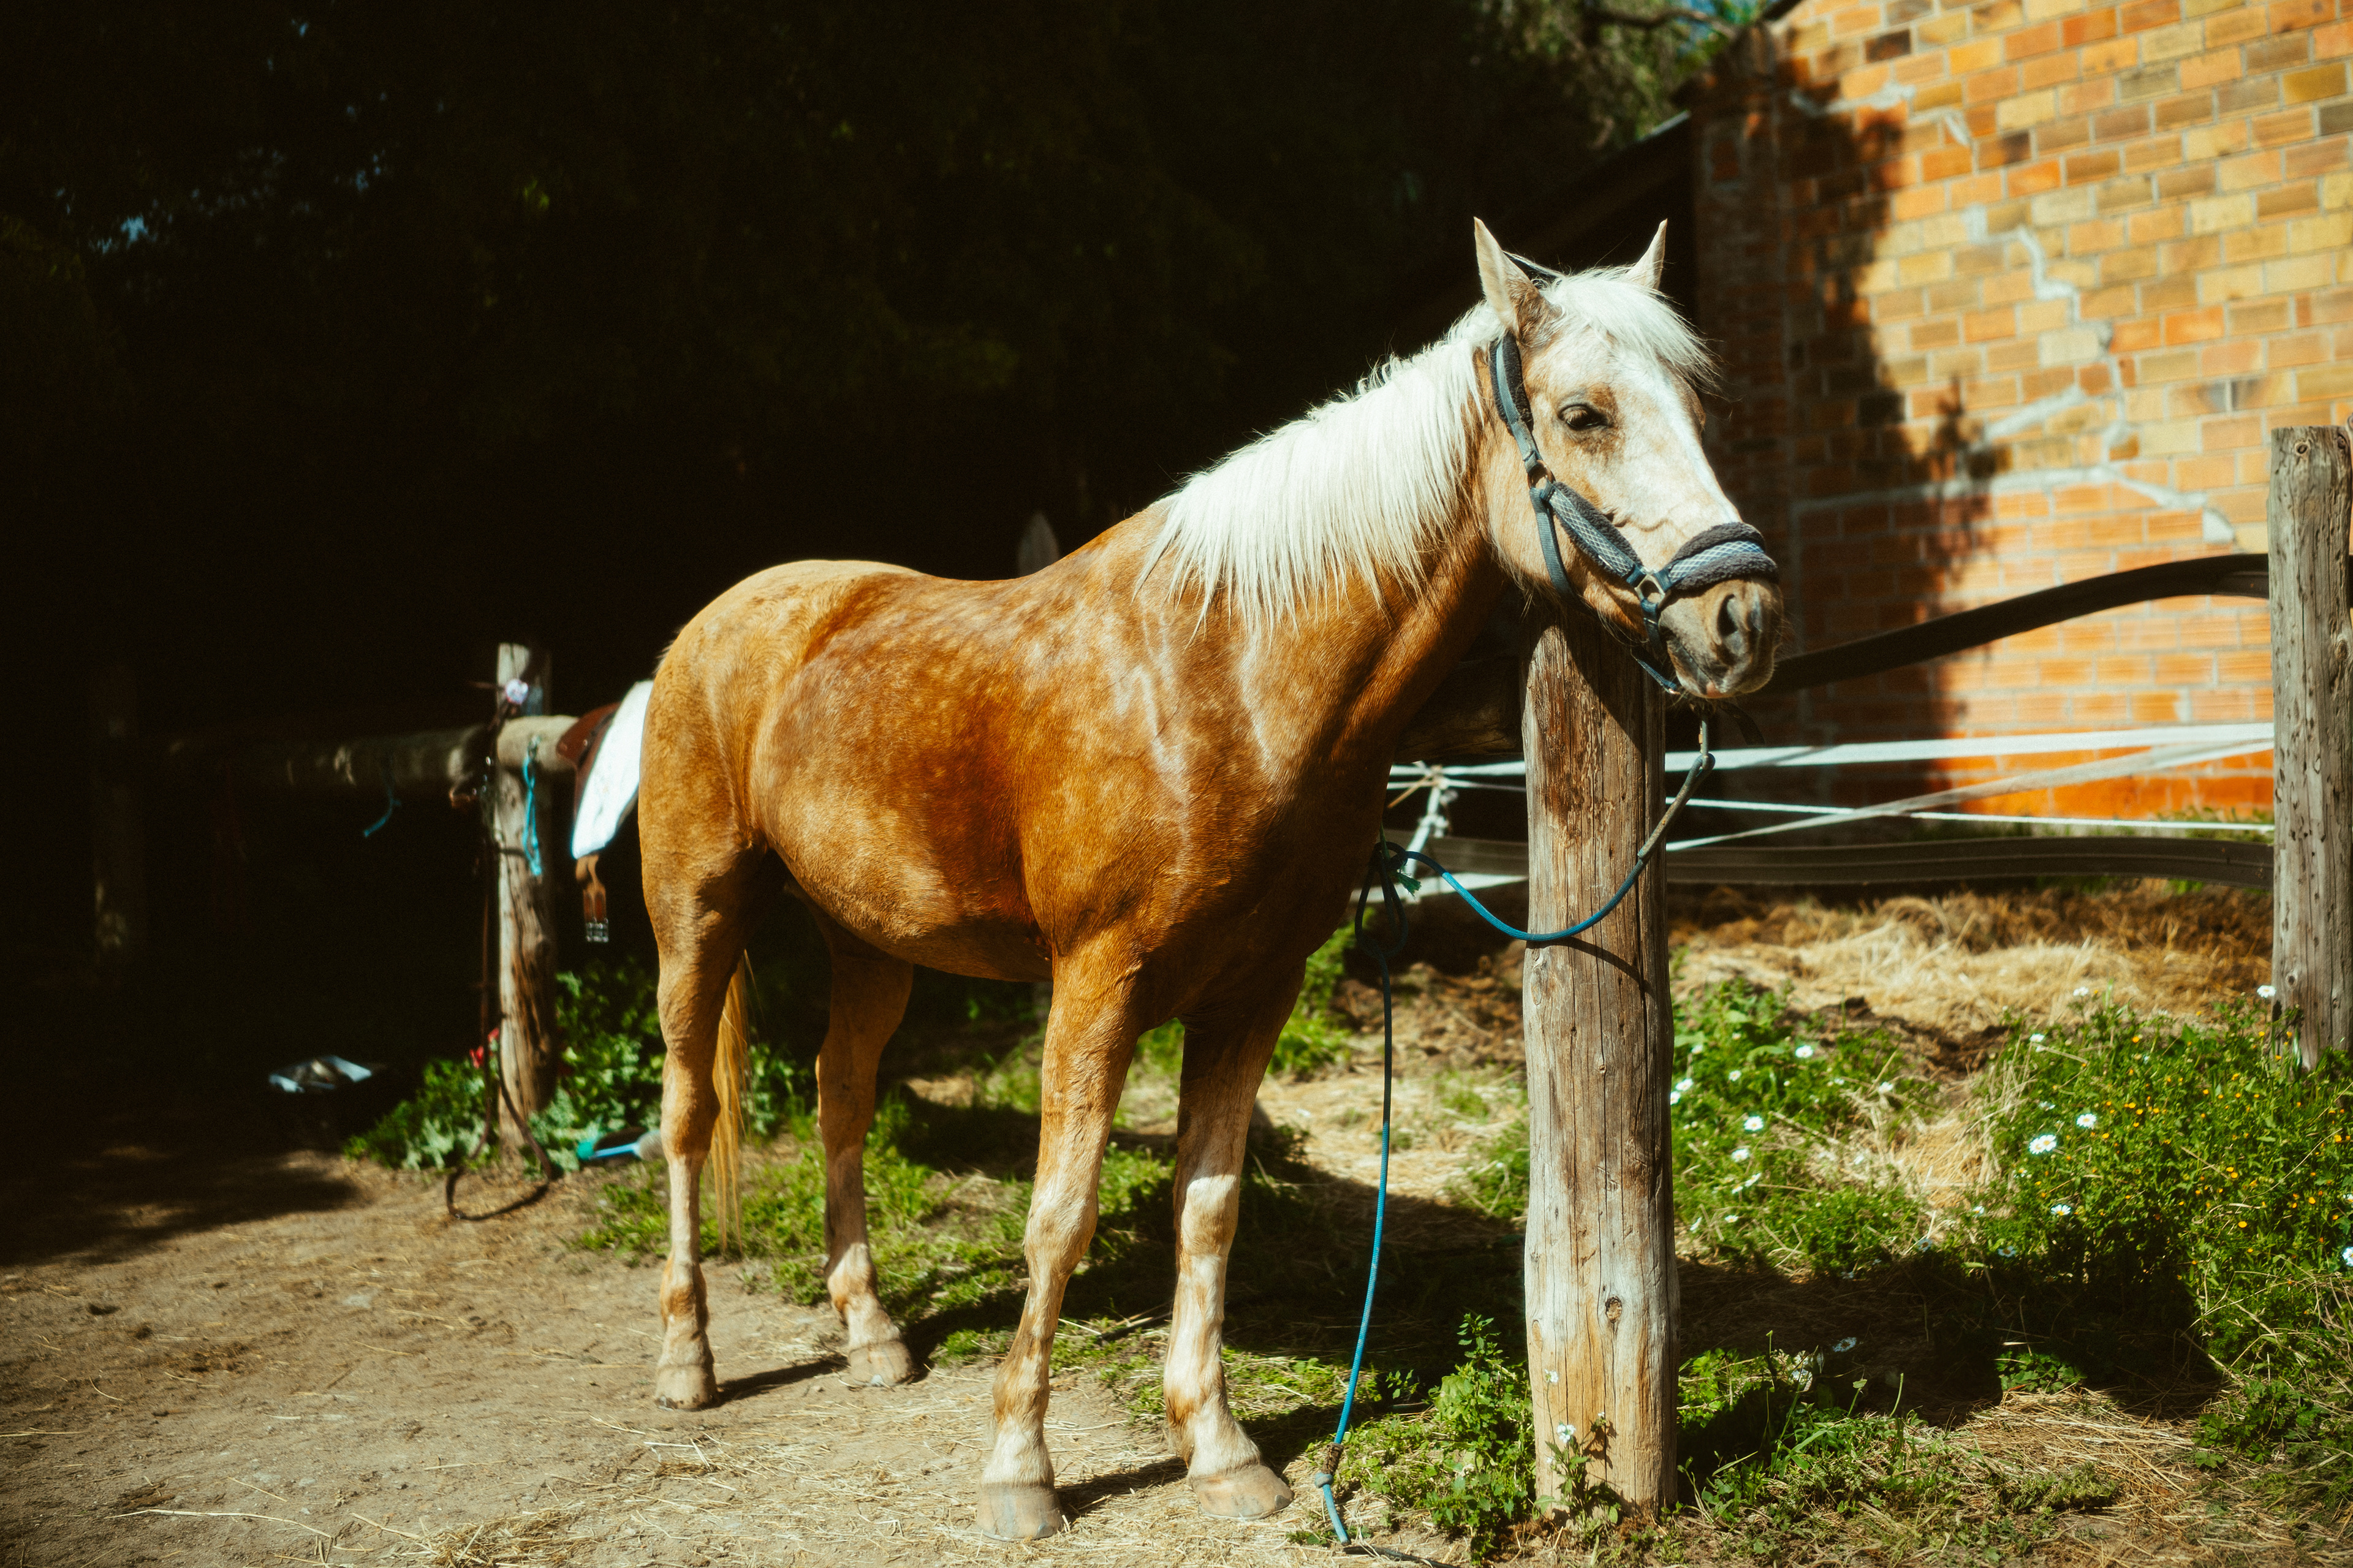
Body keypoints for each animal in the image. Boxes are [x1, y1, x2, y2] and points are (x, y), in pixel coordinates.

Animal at [634, 219, 1783, 1540]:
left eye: (1696, 407)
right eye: (1585, 413)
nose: (1745, 616)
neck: (1225, 672)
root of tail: (722, 616)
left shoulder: (1253, 991)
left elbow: (1211, 1203)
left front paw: (1220, 1444)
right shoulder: (1095, 986)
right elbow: (1059, 1213)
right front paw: (1020, 1468)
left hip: (869, 942)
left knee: (840, 1099)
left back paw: (870, 1330)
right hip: (698, 919)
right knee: (686, 1115)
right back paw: (688, 1358)